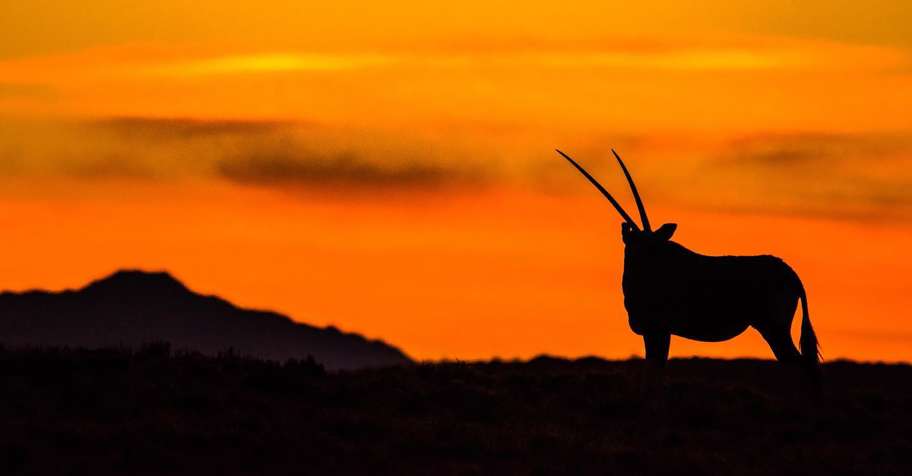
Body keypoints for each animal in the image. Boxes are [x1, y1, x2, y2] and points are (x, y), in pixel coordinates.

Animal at [556, 149, 821, 386]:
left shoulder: (659, 330)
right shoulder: (655, 333)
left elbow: (655, 373)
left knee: (802, 365)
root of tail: (791, 274)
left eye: (656, 246)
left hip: (773, 328)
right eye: (641, 245)